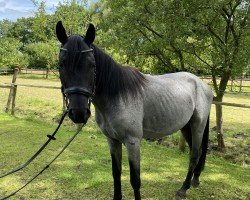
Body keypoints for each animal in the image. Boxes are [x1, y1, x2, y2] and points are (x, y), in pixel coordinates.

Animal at [56, 21, 213, 199]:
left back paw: (183, 188)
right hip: (186, 127)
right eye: (61, 64)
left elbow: (135, 180)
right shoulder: (112, 140)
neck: (117, 96)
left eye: (91, 65)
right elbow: (116, 173)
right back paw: (195, 180)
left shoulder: (133, 142)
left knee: (194, 154)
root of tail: (202, 84)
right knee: (197, 151)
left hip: (197, 125)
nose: (79, 113)